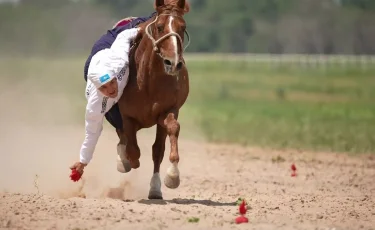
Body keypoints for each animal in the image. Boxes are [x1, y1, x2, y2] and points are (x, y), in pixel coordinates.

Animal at [115, 0, 192, 199]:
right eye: (159, 27)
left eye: (183, 27)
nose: (173, 63)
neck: (148, 81)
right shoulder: (127, 116)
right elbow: (132, 149)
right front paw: (127, 161)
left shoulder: (168, 111)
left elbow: (163, 142)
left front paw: (171, 177)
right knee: (123, 137)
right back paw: (123, 160)